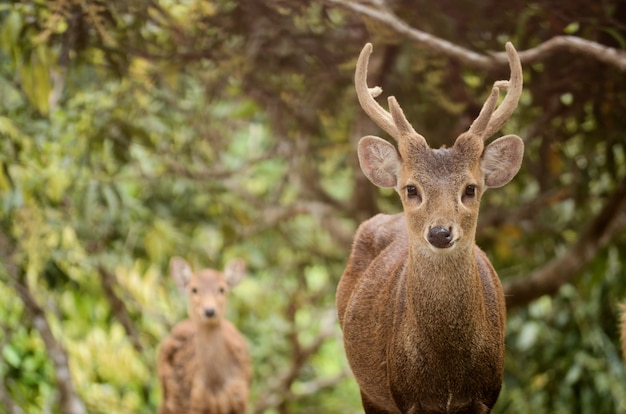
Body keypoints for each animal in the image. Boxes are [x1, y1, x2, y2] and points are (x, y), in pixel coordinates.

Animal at [156, 258, 251, 412]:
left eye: (222, 289)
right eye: (194, 289)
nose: (209, 311)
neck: (215, 384)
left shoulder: (240, 398)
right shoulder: (195, 403)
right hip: (171, 395)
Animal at [334, 42, 524, 414]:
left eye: (470, 189)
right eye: (411, 189)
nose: (440, 233)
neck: (447, 372)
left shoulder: (486, 395)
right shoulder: (406, 396)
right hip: (370, 392)